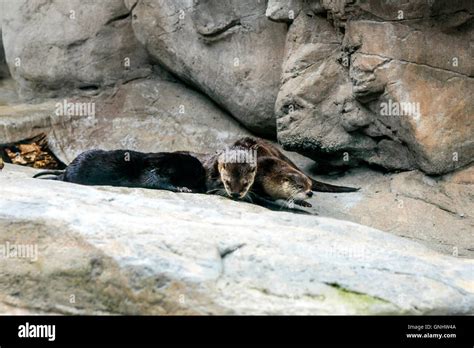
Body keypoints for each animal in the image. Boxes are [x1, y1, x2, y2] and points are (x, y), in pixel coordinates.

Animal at [32, 149, 205, 193]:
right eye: (197, 173)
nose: (203, 173)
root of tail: (65, 170)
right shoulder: (154, 173)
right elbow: (159, 183)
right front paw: (183, 188)